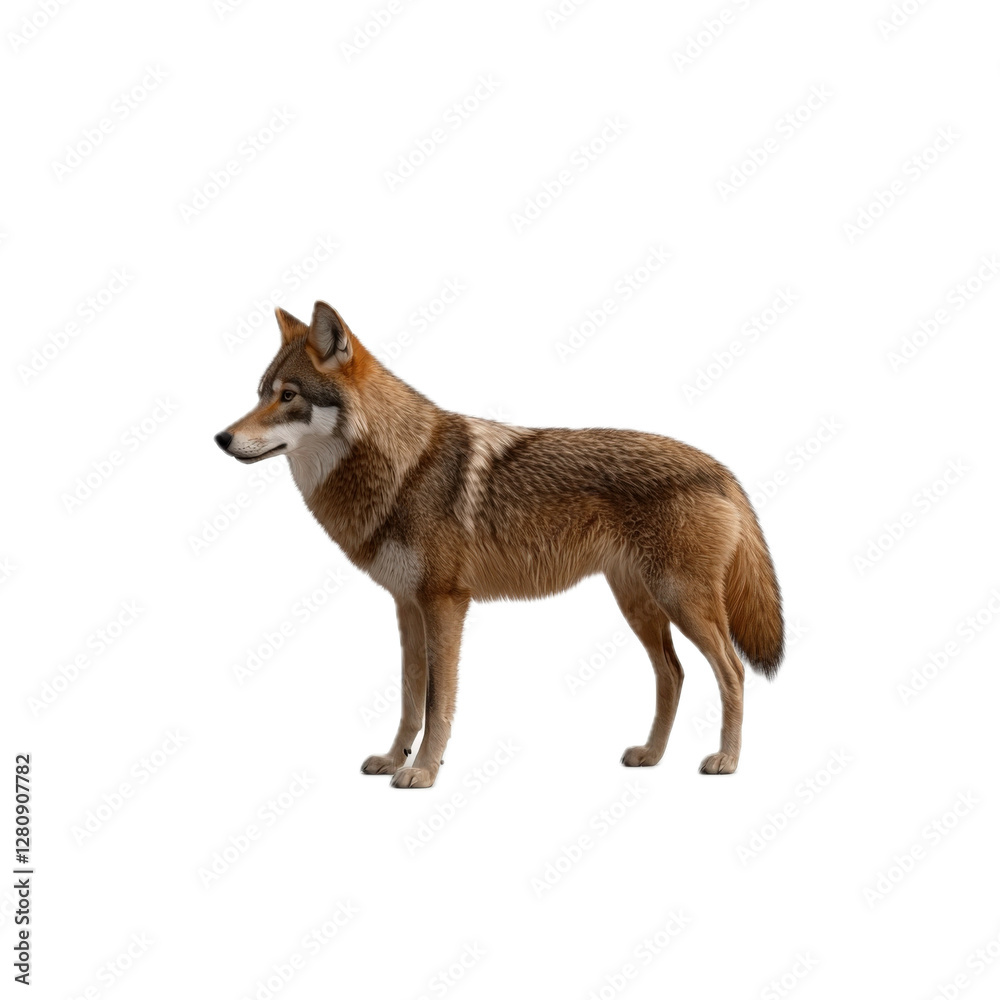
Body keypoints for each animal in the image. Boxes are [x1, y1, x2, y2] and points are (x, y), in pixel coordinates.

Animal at [216, 302, 784, 788]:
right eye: (261, 392)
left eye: (289, 396)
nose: (221, 438)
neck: (404, 467)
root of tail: (719, 467)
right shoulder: (407, 606)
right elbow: (409, 697)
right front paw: (396, 758)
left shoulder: (445, 604)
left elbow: (437, 702)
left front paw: (424, 771)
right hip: (641, 606)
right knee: (674, 674)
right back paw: (652, 755)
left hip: (681, 602)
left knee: (731, 671)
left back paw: (727, 760)